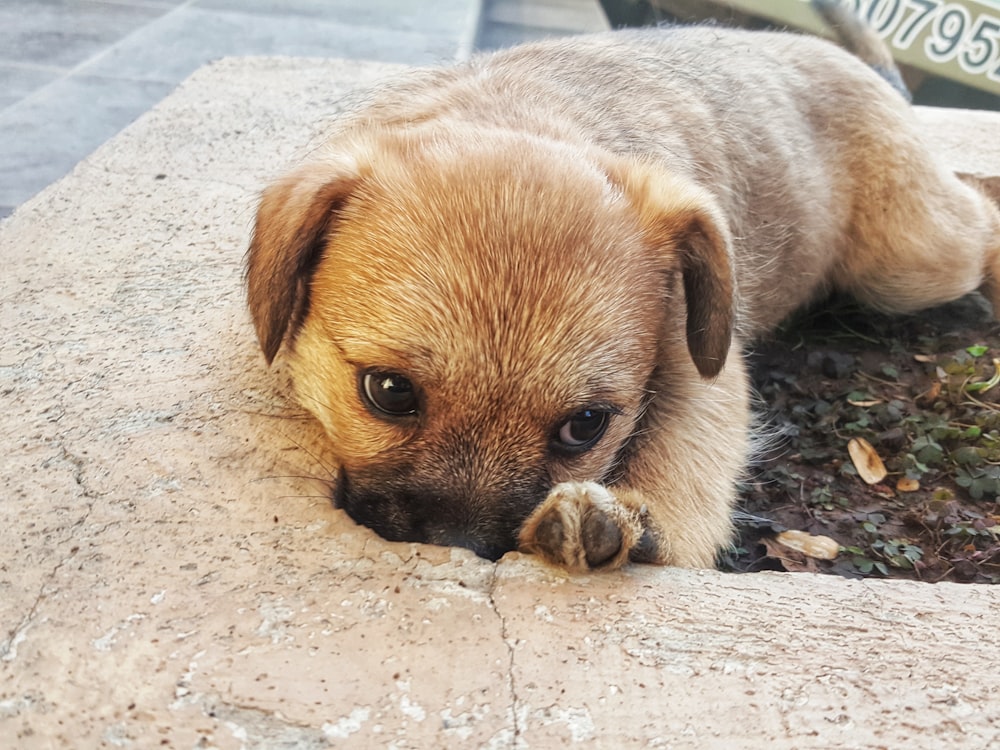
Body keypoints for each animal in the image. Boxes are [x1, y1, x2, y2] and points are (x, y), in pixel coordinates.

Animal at [248, 2, 1000, 572]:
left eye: (586, 426)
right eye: (388, 391)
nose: (458, 549)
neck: (514, 114)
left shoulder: (703, 364)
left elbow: (685, 460)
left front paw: (634, 523)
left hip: (913, 259)